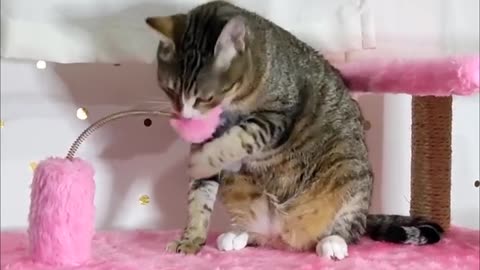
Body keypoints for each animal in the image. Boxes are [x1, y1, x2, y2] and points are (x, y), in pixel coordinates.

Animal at [145, 1, 442, 260]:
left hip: (349, 167)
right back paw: (238, 235)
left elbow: (243, 136)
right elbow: (199, 198)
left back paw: (333, 242)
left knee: (351, 228)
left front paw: (200, 160)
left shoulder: (278, 116)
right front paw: (191, 239)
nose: (184, 117)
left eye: (205, 98)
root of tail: (284, 234)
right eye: (170, 90)